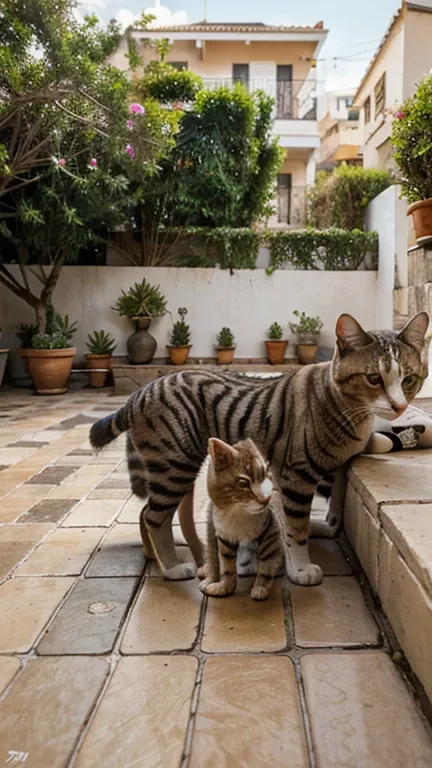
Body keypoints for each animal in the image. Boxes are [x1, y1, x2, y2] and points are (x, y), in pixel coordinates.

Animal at [198, 438, 280, 600]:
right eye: (243, 483)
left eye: (266, 476)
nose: (266, 499)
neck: (238, 511)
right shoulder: (223, 534)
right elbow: (226, 563)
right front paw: (225, 586)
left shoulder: (271, 528)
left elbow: (267, 560)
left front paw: (261, 586)